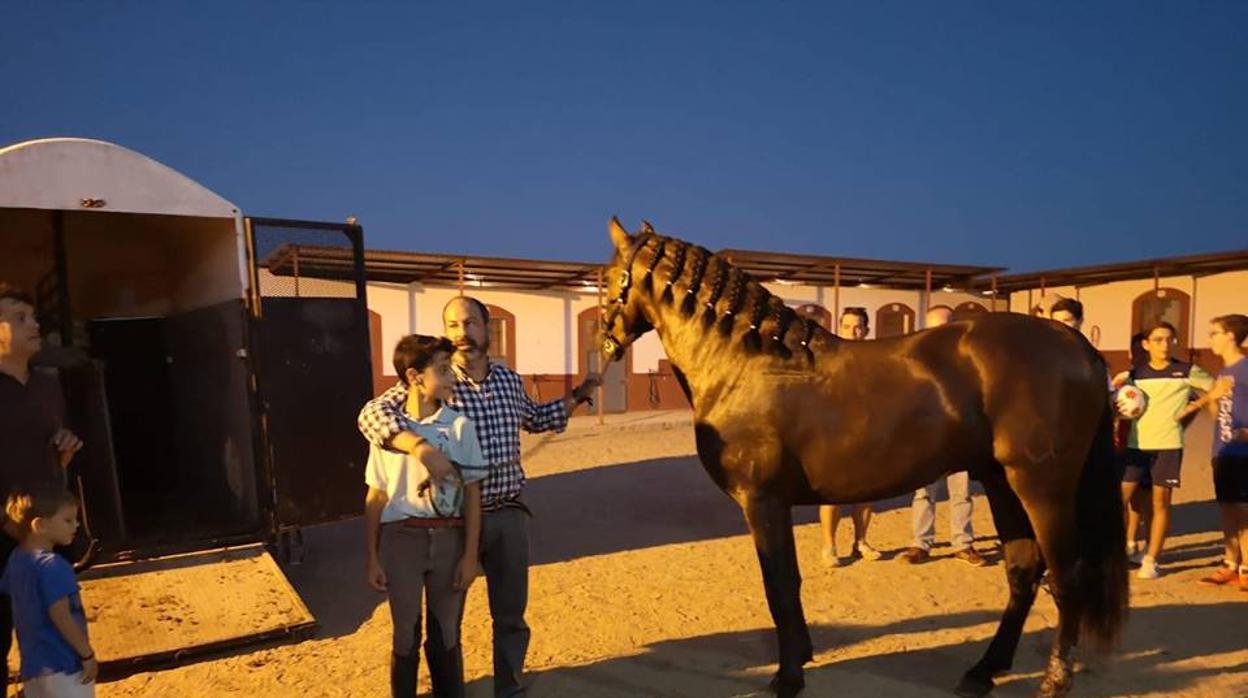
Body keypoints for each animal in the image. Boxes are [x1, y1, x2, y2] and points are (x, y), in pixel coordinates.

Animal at [596, 219, 1133, 698]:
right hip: (1001, 483)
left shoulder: (763, 502)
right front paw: (801, 658)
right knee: (1023, 573)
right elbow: (788, 585)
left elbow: (780, 586)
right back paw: (983, 671)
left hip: (1042, 486)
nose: (606, 341)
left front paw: (788, 678)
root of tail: (1078, 345)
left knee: (1066, 576)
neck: (745, 366)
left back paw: (1054, 680)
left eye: (607, 280)